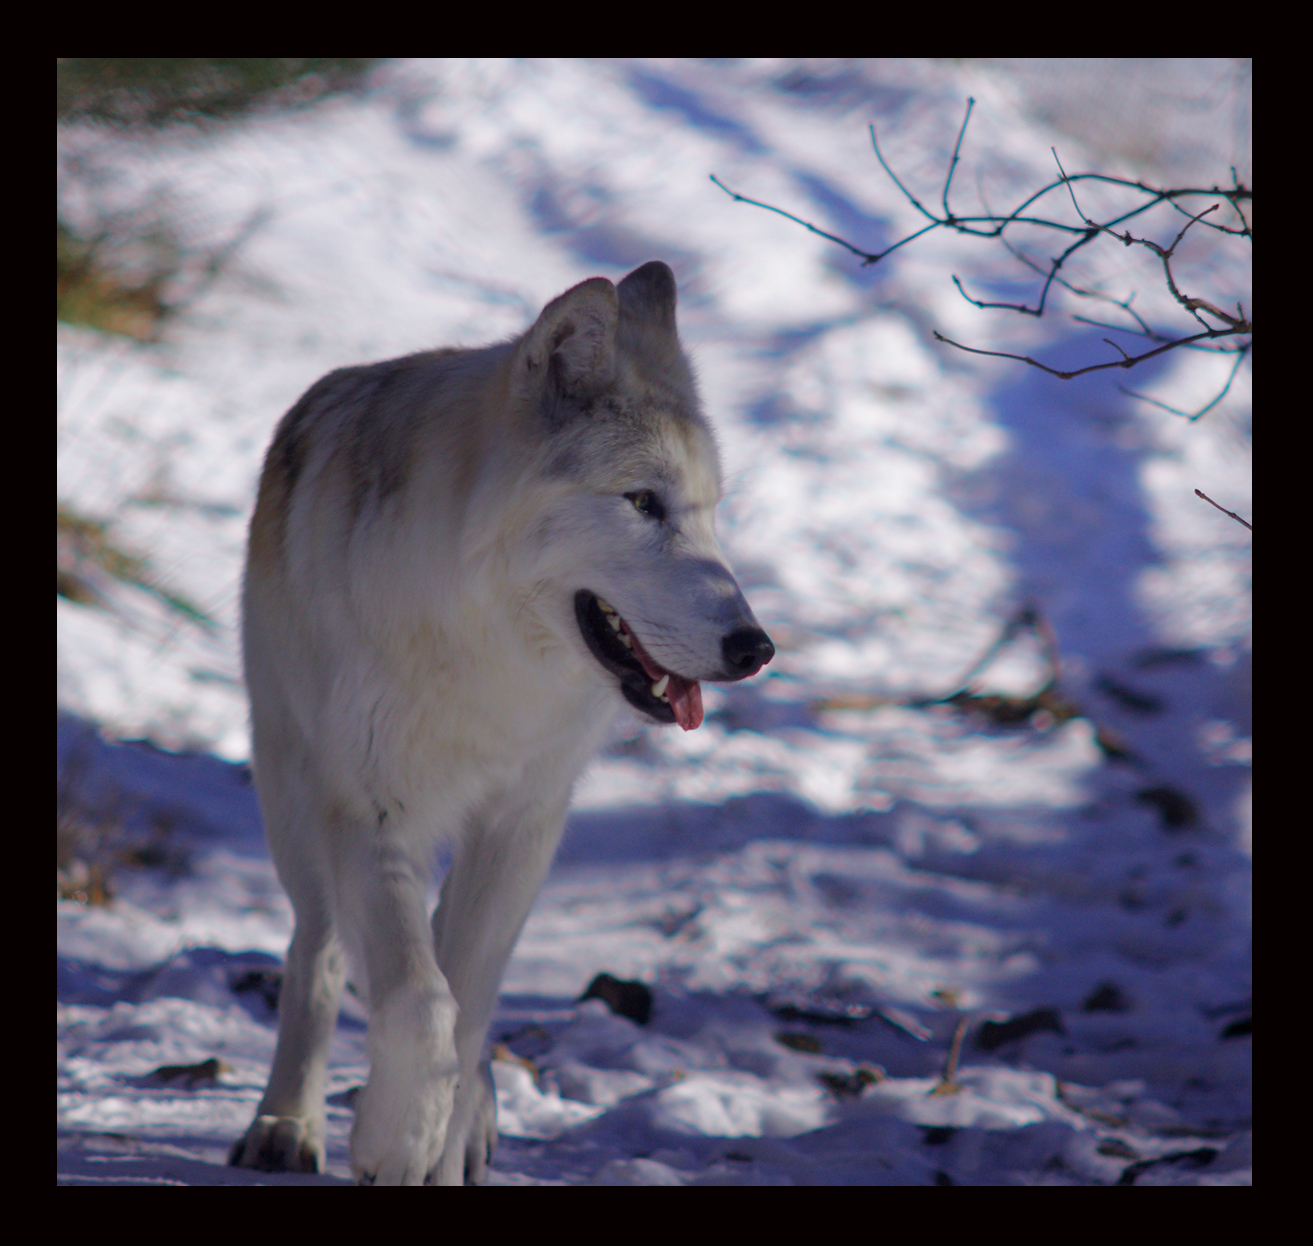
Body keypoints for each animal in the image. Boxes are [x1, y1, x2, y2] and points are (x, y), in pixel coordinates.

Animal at [231, 257, 772, 1181]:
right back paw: (287, 1124)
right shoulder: (370, 812)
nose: (755, 646)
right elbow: (419, 1000)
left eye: (710, 510)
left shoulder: (524, 818)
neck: (484, 654)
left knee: (462, 983)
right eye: (642, 502)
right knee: (319, 954)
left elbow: (466, 1002)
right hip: (292, 797)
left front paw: (434, 1146)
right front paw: (394, 1139)